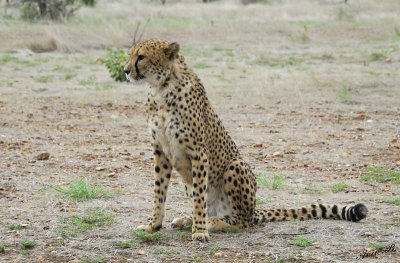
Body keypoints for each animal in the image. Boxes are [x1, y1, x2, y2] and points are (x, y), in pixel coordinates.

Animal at [123, 38, 368, 242]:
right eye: (131, 54)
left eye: (141, 56)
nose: (125, 71)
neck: (161, 88)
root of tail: (254, 209)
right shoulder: (161, 152)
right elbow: (159, 192)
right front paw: (153, 225)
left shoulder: (198, 153)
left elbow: (198, 199)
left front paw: (200, 231)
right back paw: (189, 219)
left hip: (235, 166)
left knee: (242, 221)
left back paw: (213, 222)